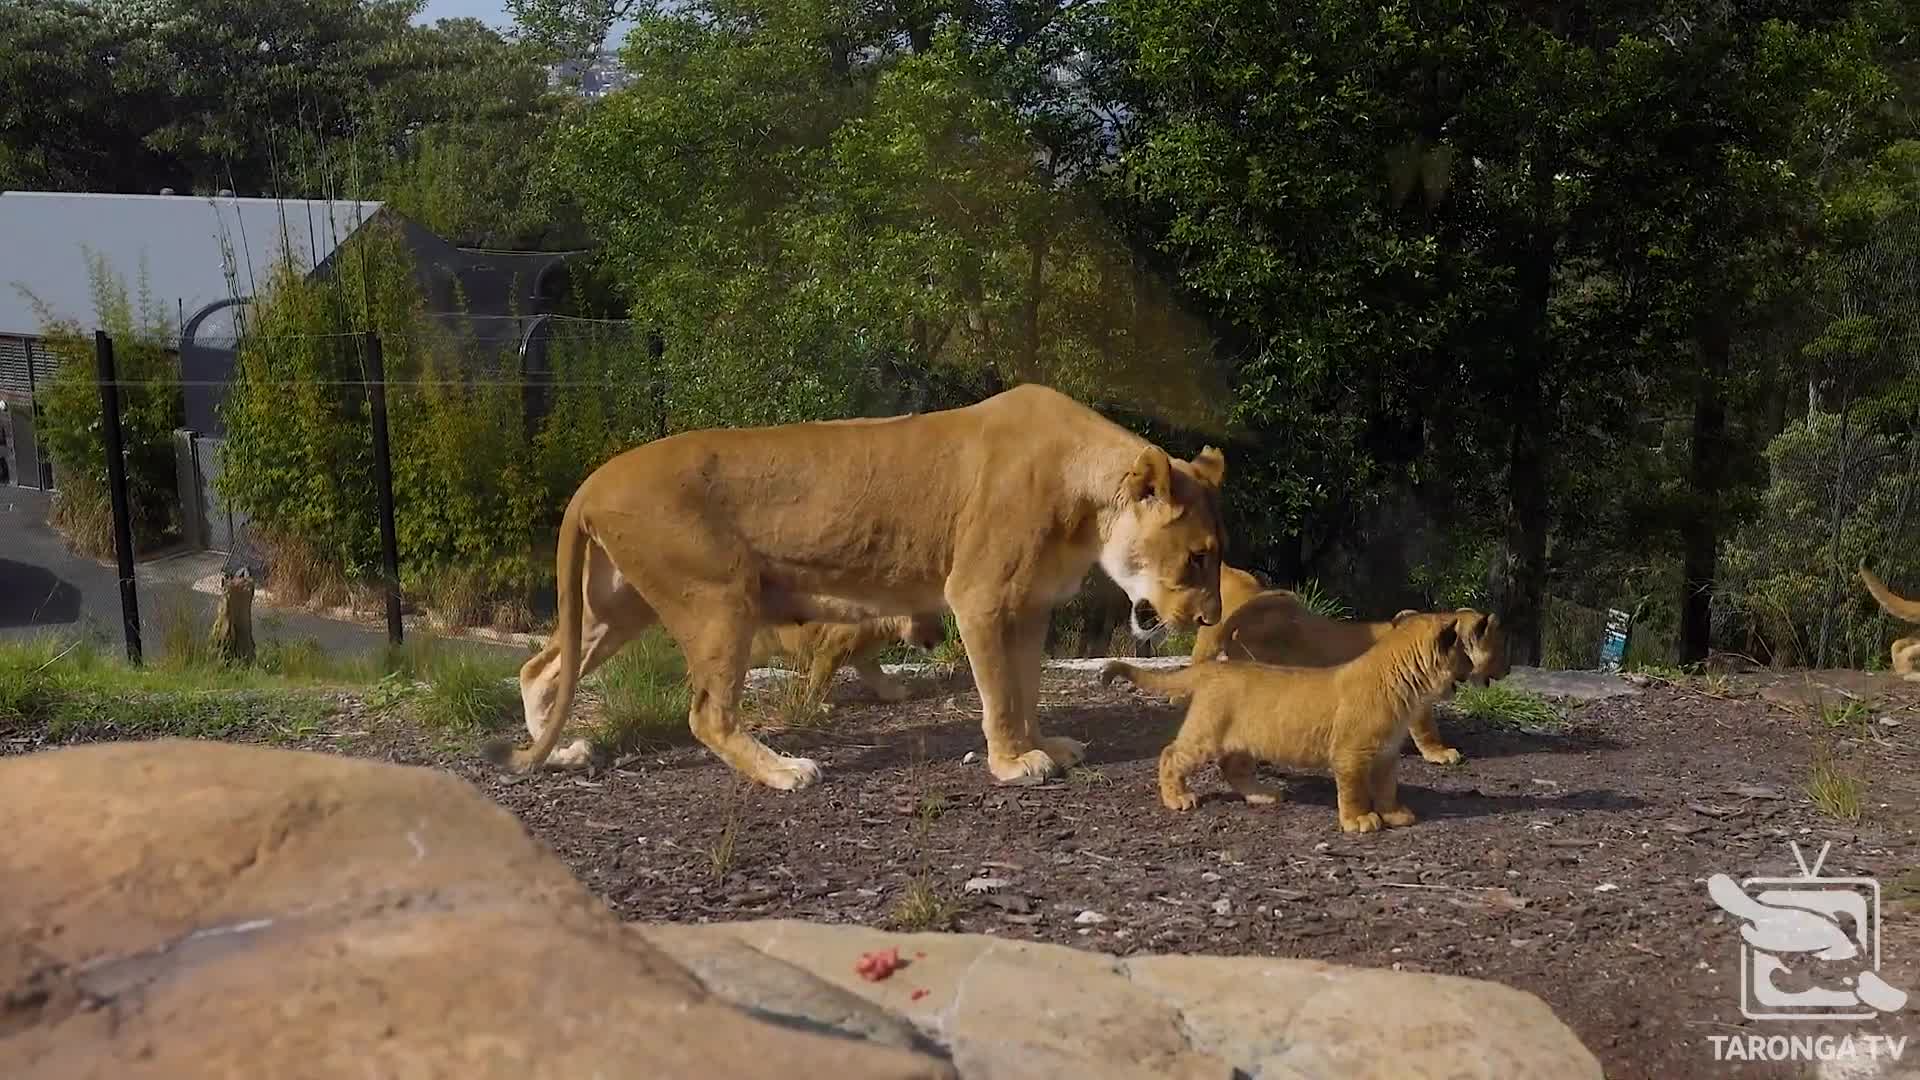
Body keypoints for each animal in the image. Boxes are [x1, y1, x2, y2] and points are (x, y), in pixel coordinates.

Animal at [487, 382, 1221, 787]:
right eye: (1197, 559)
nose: (1209, 620)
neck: (1089, 499)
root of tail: (592, 480)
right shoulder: (980, 596)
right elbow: (1000, 693)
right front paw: (1015, 763)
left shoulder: (1030, 605)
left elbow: (1028, 687)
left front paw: (1047, 746)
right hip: (721, 596)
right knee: (706, 714)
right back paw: (784, 771)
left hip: (618, 605)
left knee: (539, 668)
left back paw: (558, 754)